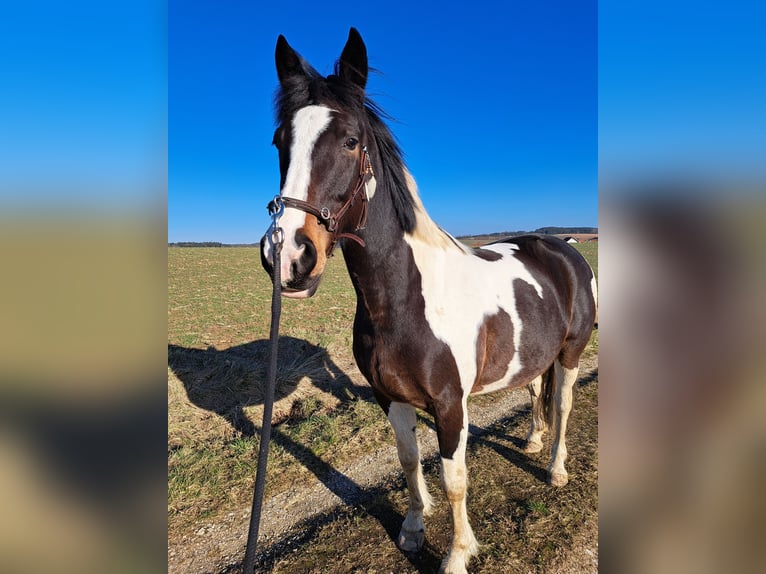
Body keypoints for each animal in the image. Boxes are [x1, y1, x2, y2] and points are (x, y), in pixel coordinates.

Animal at [260, 28, 597, 574]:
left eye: (351, 141)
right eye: (279, 142)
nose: (288, 254)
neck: (403, 303)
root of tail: (563, 247)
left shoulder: (449, 405)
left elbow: (454, 479)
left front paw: (457, 555)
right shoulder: (390, 397)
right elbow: (408, 461)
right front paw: (414, 529)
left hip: (570, 352)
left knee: (564, 403)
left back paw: (556, 469)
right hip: (535, 354)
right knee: (534, 391)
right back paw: (531, 440)